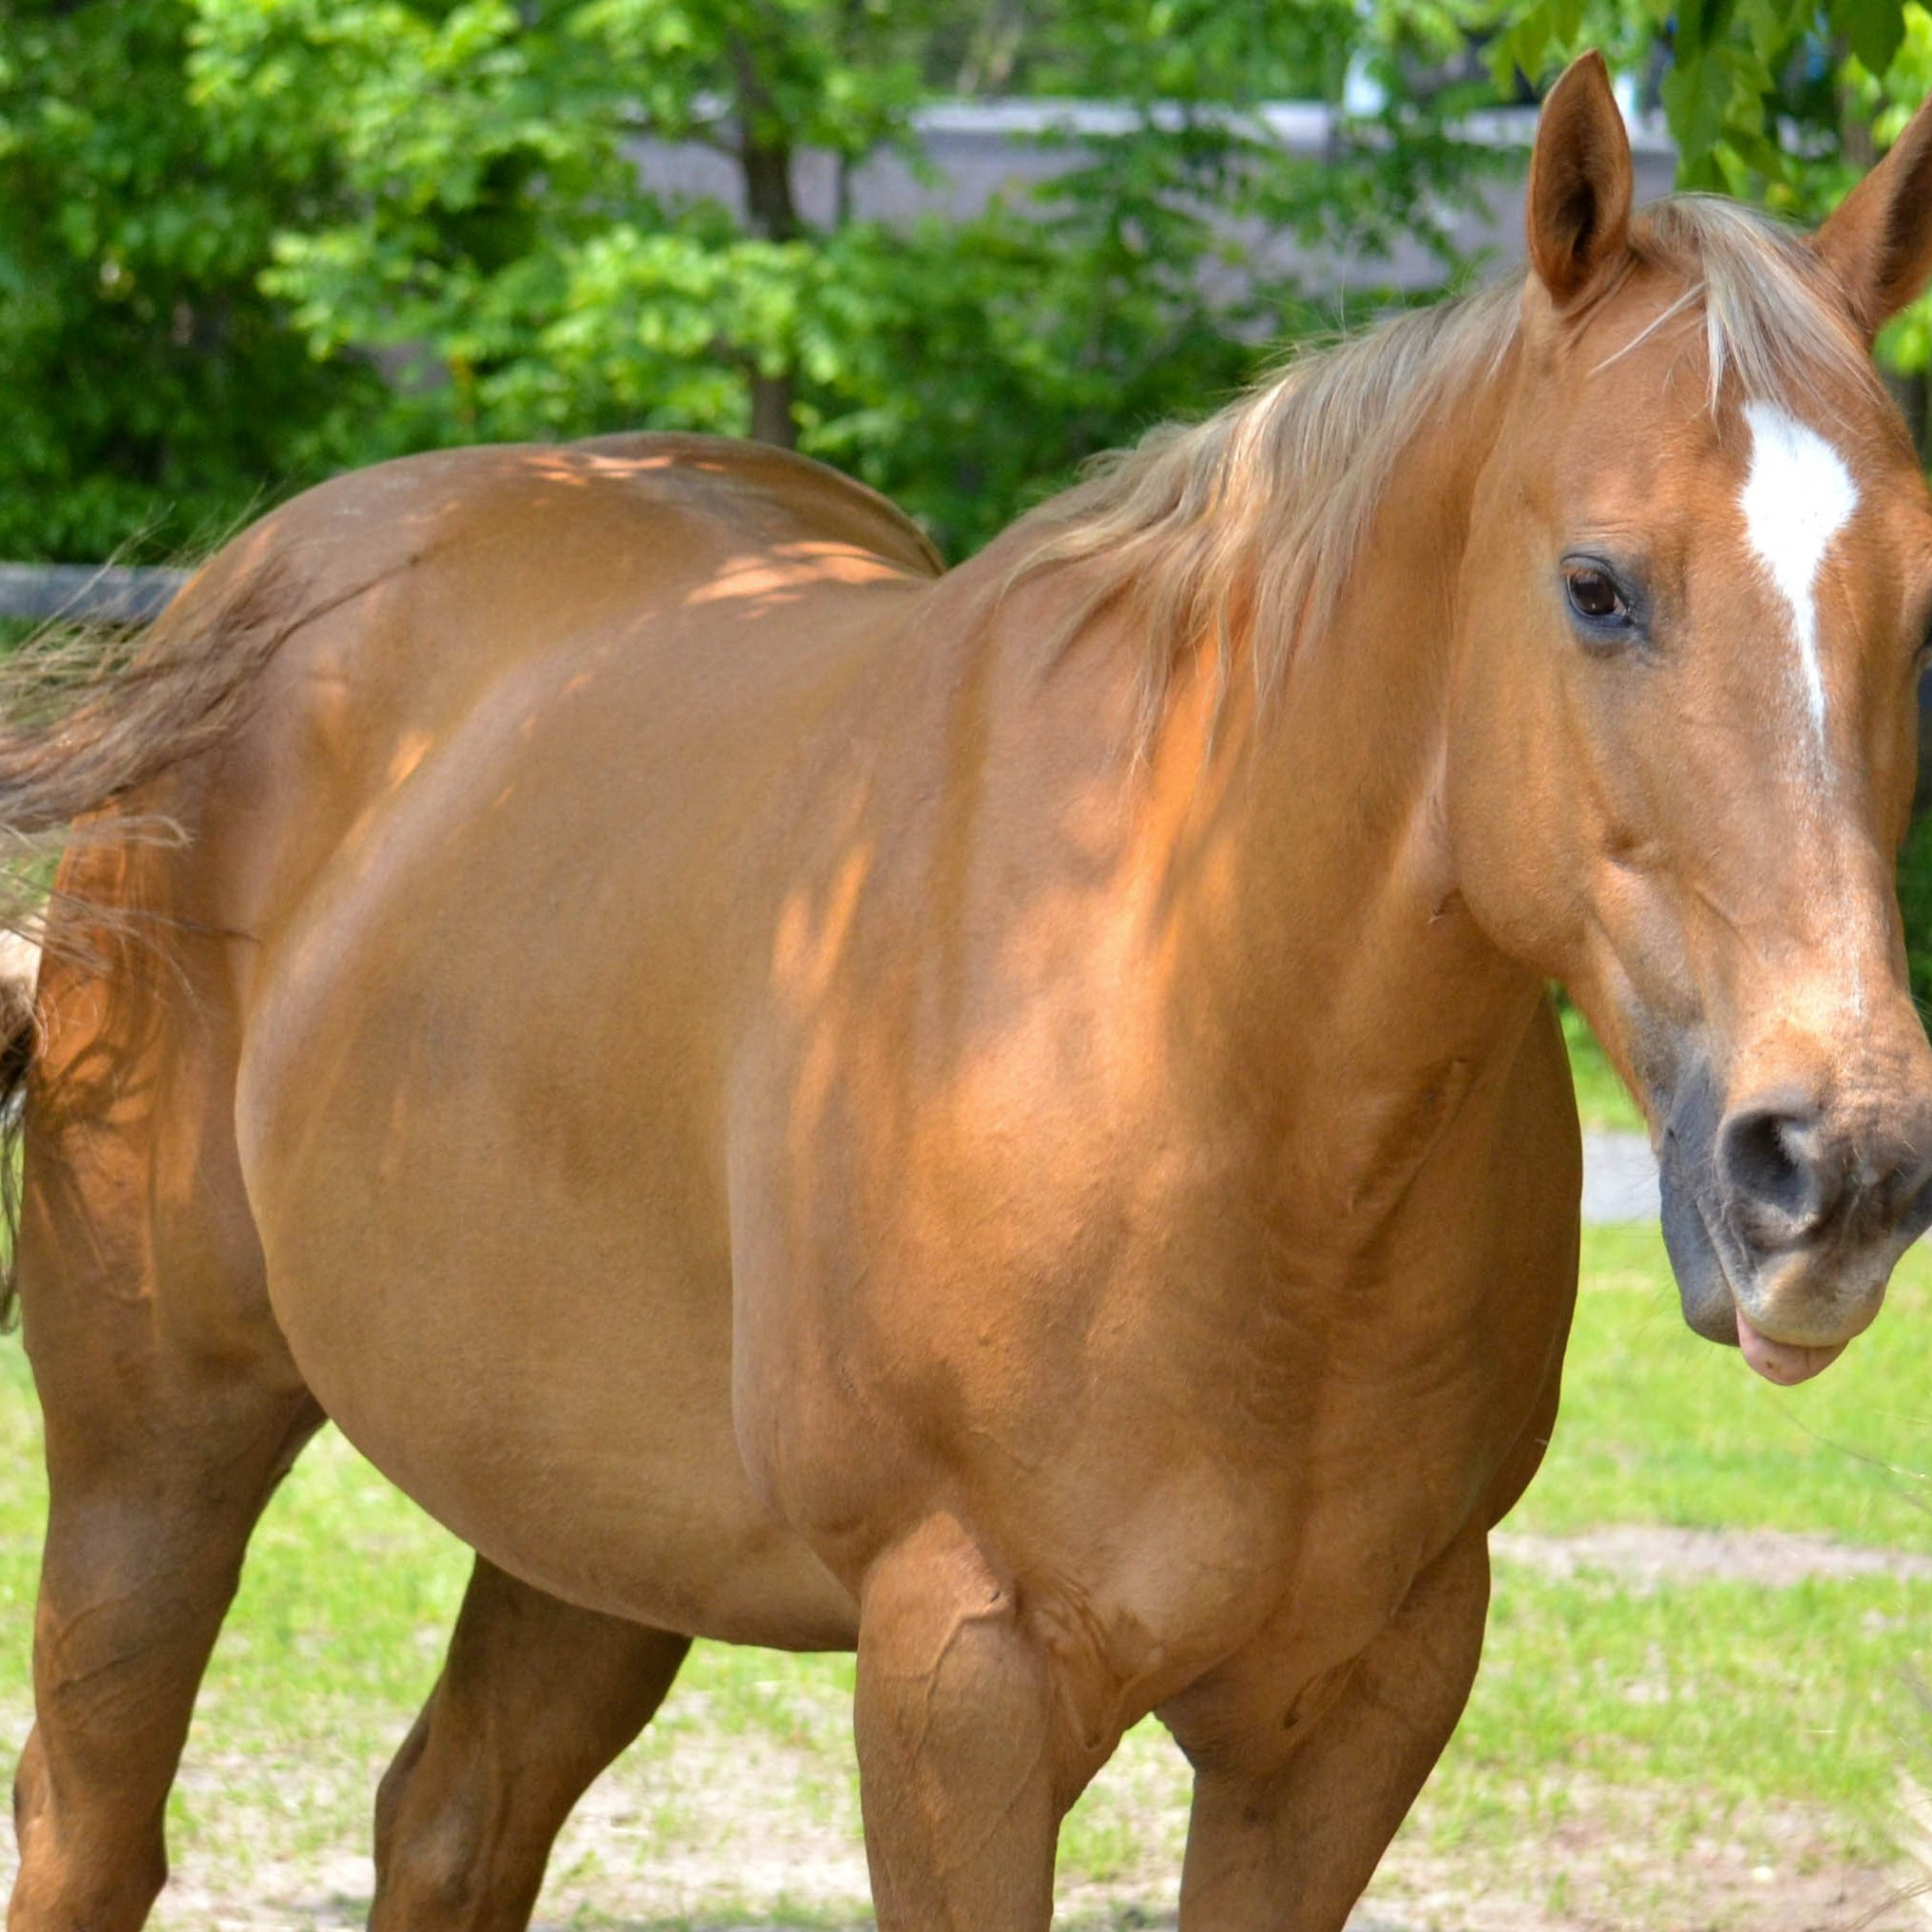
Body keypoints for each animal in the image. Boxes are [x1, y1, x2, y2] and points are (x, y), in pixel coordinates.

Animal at [11, 51, 1932, 1931]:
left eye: (1917, 621)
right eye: (1595, 587)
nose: (1835, 1165)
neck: (1214, 1063)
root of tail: (252, 588)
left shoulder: (1354, 1708)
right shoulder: (960, 1682)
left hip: (585, 1525)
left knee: (451, 1818)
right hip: (149, 1449)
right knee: (92, 1827)